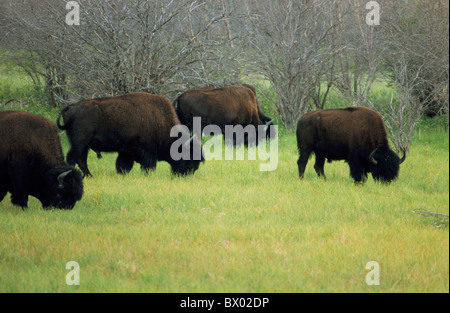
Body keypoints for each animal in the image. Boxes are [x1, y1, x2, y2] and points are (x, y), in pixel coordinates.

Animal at [56, 91, 204, 177]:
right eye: (189, 156)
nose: (188, 173)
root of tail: (70, 107)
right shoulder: (147, 151)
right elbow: (148, 165)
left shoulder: (126, 151)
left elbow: (123, 164)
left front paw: (122, 174)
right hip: (80, 143)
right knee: (73, 158)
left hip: (84, 145)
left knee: (81, 159)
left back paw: (89, 176)